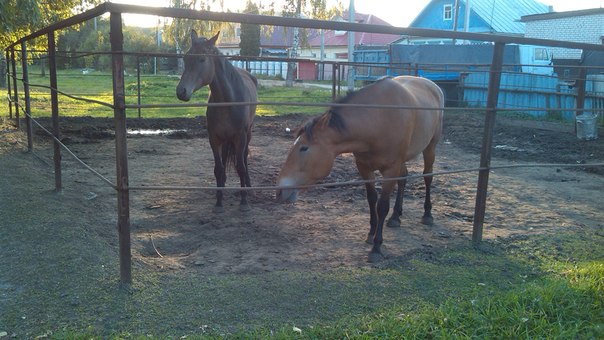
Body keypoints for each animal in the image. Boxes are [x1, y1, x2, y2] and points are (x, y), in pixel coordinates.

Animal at [177, 31, 258, 212]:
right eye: (185, 58)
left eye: (202, 59)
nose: (181, 91)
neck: (228, 101)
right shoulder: (214, 138)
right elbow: (218, 168)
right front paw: (219, 201)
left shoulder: (240, 137)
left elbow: (241, 166)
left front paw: (244, 202)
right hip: (225, 139)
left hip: (248, 134)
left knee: (244, 159)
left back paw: (249, 186)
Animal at [278, 76, 444, 262]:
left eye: (304, 148)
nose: (279, 191)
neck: (376, 121)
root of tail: (433, 85)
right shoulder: (364, 167)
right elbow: (371, 199)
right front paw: (371, 234)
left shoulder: (390, 170)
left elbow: (382, 205)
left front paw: (376, 247)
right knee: (403, 179)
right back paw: (396, 217)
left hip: (430, 147)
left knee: (427, 177)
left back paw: (427, 215)